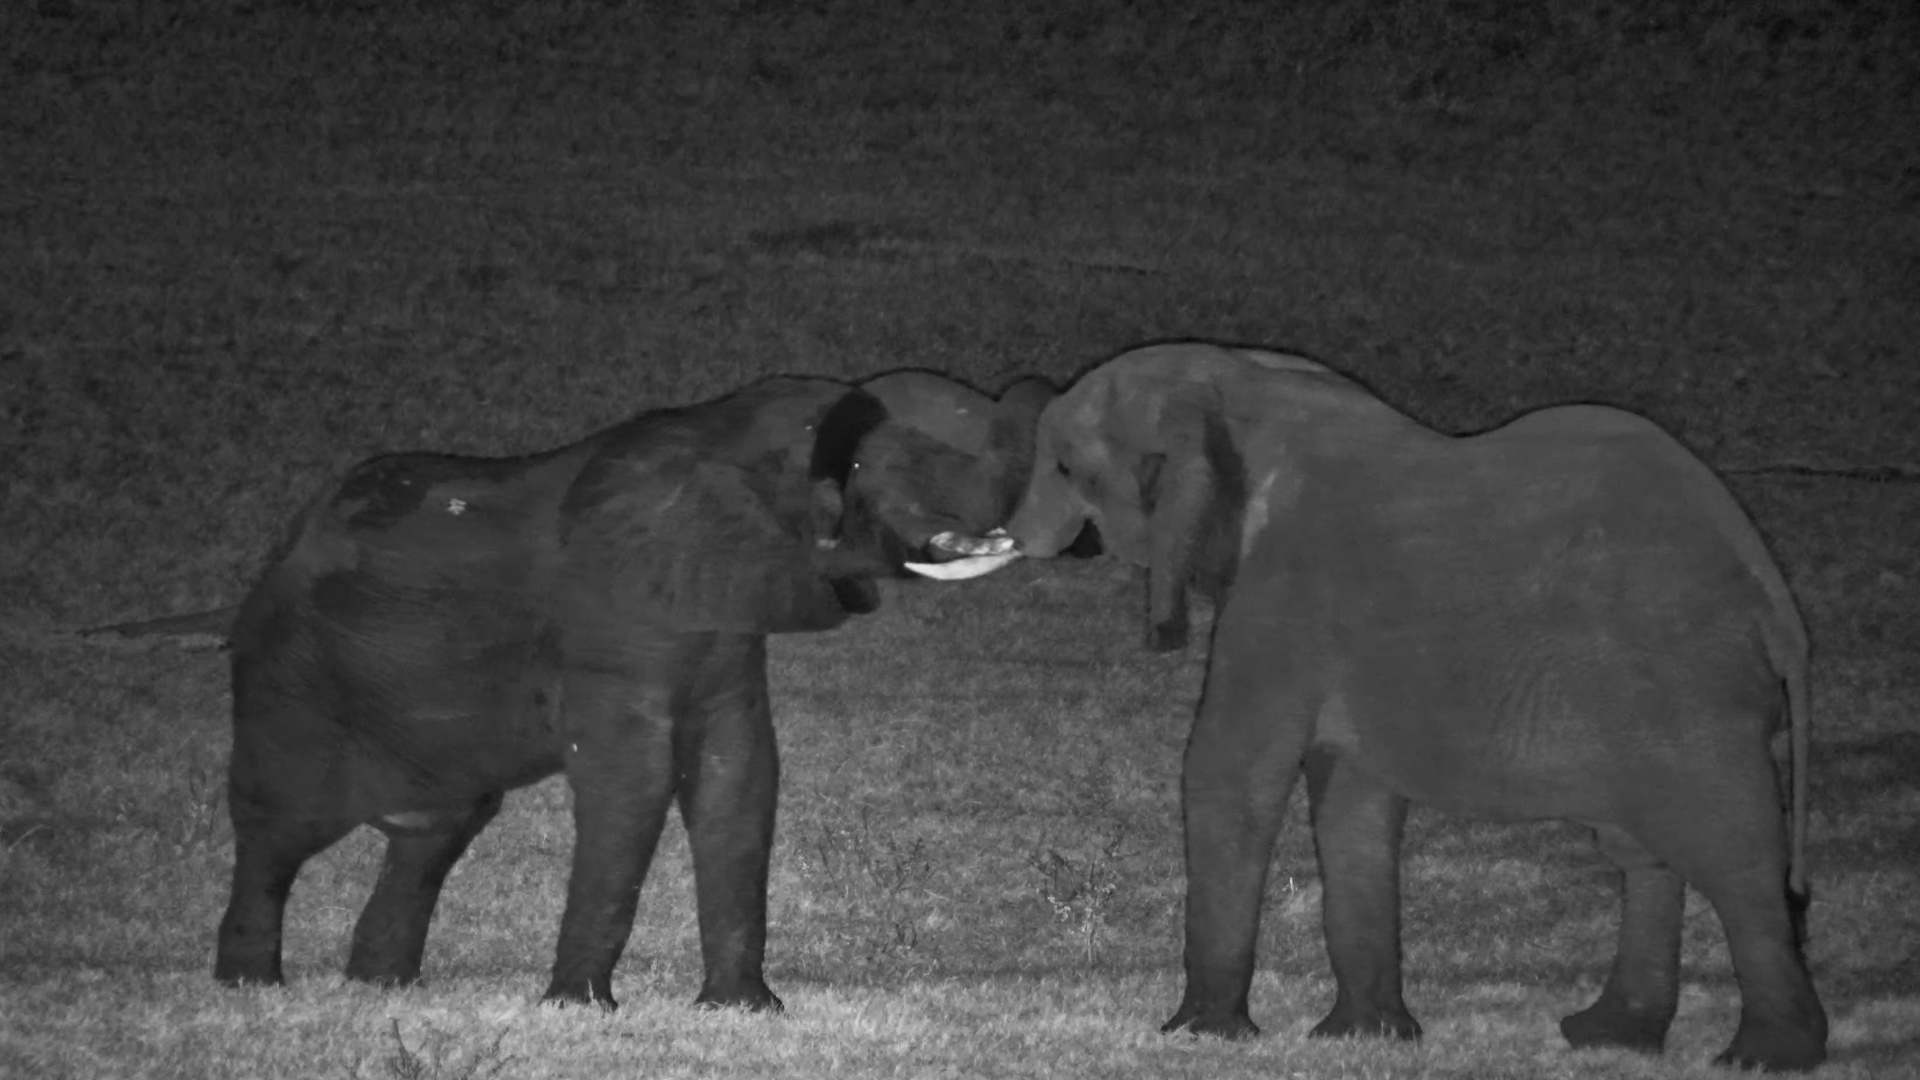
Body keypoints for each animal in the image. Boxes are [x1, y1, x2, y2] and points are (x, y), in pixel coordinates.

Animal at [213, 374, 996, 1010]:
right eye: (865, 465)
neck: (721, 442)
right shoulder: (609, 625)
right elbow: (634, 783)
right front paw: (578, 1009)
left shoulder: (725, 624)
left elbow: (738, 771)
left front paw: (745, 1011)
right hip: (290, 680)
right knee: (283, 826)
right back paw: (253, 988)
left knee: (434, 834)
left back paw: (383, 989)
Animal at [914, 342, 1827, 1071]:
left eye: (1068, 468)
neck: (1240, 385)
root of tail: (1777, 602)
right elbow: (1353, 798)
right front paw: (1364, 1039)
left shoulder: (1286, 595)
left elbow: (1229, 775)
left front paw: (1199, 1037)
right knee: (1645, 852)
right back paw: (1610, 1038)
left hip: (1685, 690)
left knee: (1733, 854)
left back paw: (1764, 1059)